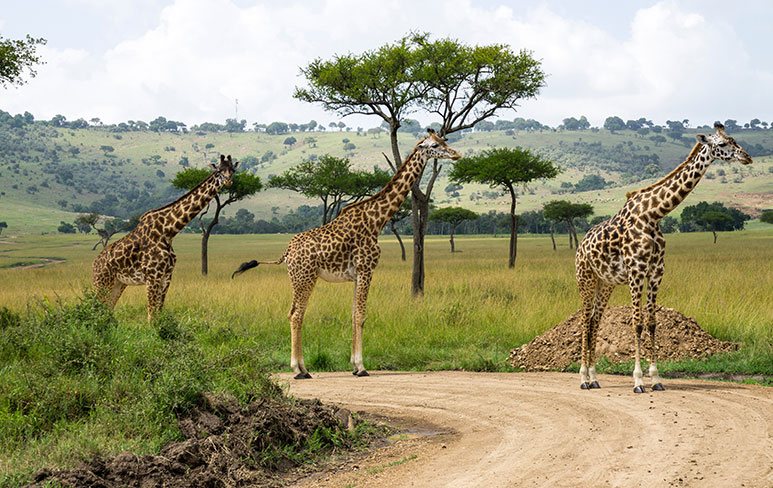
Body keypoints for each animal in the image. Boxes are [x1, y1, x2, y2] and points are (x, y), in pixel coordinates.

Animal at [93, 154, 238, 322]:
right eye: (219, 171)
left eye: (233, 170)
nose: (228, 181)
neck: (168, 231)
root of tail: (95, 263)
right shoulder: (152, 277)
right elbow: (151, 317)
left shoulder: (166, 276)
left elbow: (159, 314)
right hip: (102, 282)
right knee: (97, 309)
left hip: (118, 283)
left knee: (107, 309)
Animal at [229, 129, 458, 378]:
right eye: (435, 145)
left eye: (444, 141)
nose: (456, 154)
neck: (377, 219)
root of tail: (287, 252)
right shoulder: (366, 268)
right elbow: (361, 315)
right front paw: (361, 367)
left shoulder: (357, 274)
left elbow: (353, 314)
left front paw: (354, 366)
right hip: (305, 278)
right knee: (296, 315)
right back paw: (299, 369)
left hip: (298, 279)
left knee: (292, 313)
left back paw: (303, 368)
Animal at [576, 123, 752, 392]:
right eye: (722, 144)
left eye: (734, 140)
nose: (747, 157)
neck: (654, 214)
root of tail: (580, 247)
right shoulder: (636, 271)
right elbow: (637, 323)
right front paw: (638, 380)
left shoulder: (657, 271)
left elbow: (651, 322)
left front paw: (656, 379)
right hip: (585, 278)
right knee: (585, 321)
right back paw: (583, 378)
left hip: (605, 283)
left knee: (595, 320)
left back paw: (595, 378)